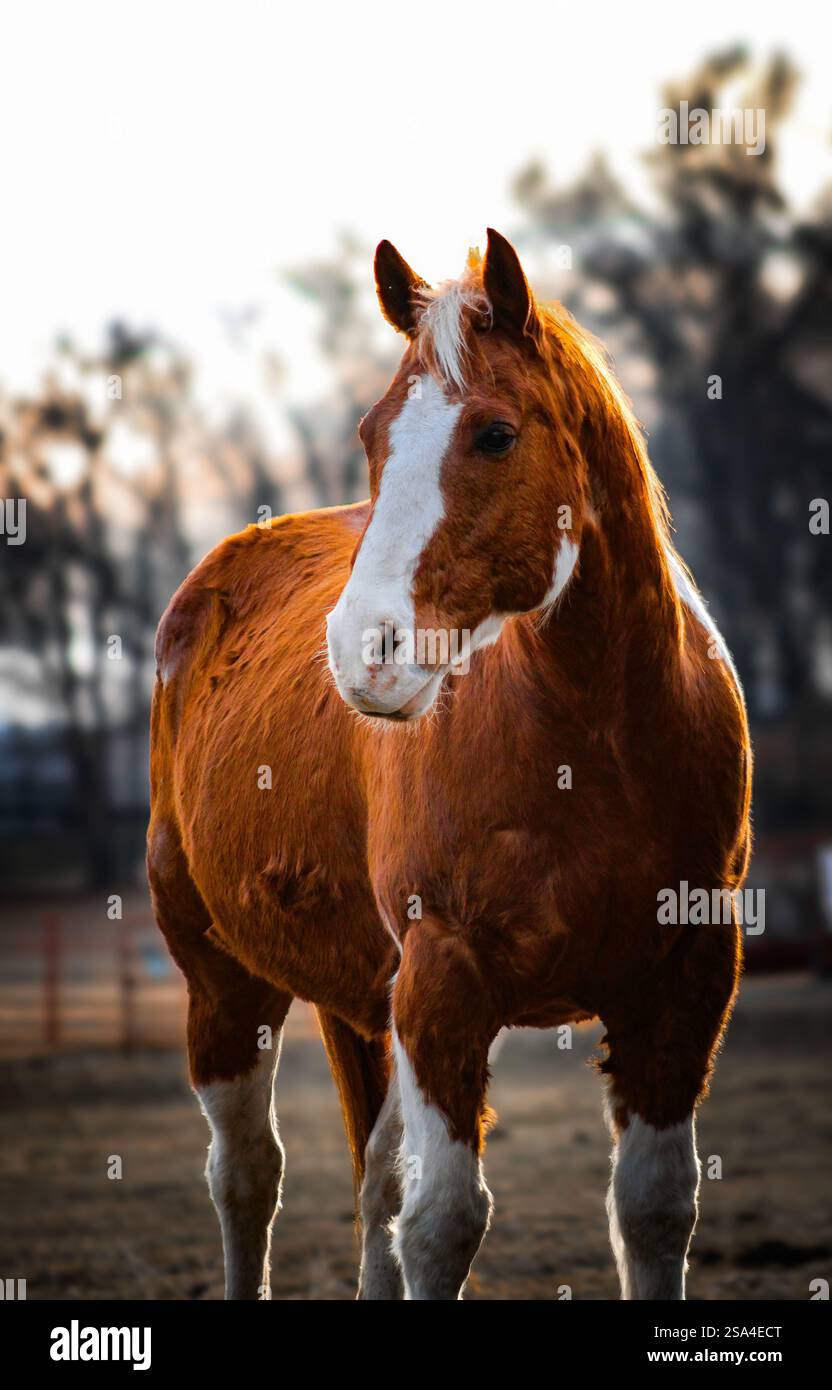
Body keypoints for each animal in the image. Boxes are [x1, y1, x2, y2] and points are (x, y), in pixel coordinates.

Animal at [147, 228, 751, 1301]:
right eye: (372, 431)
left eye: (496, 436)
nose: (364, 650)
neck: (600, 744)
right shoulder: (444, 985)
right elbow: (442, 1225)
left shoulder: (684, 984)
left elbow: (652, 1210)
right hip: (220, 977)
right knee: (248, 1175)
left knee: (374, 1176)